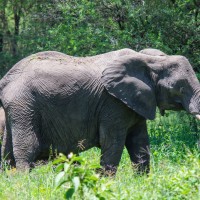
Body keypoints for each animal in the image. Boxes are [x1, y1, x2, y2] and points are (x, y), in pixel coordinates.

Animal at [0, 47, 200, 173]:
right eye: (179, 87)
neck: (149, 60)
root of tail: (6, 79)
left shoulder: (136, 102)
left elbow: (139, 142)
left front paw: (143, 182)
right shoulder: (113, 104)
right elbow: (113, 142)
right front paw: (106, 182)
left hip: (16, 109)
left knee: (7, 151)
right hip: (24, 105)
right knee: (27, 147)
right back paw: (24, 181)